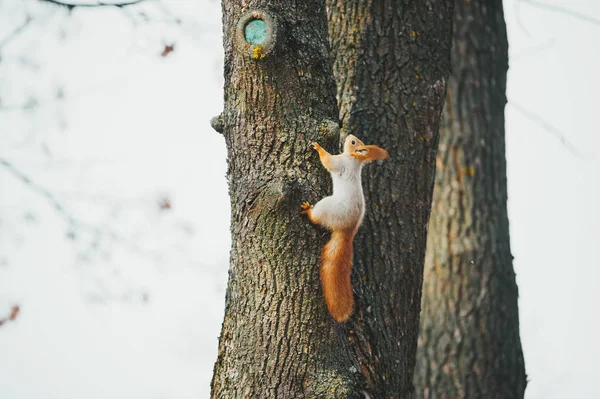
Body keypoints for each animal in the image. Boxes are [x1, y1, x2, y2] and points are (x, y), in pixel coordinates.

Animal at [300, 134, 390, 322]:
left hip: (328, 208)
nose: (349, 135)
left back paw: (308, 211)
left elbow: (328, 161)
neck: (354, 159)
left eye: (354, 142)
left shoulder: (340, 162)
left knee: (317, 216)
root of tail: (349, 231)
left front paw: (318, 147)